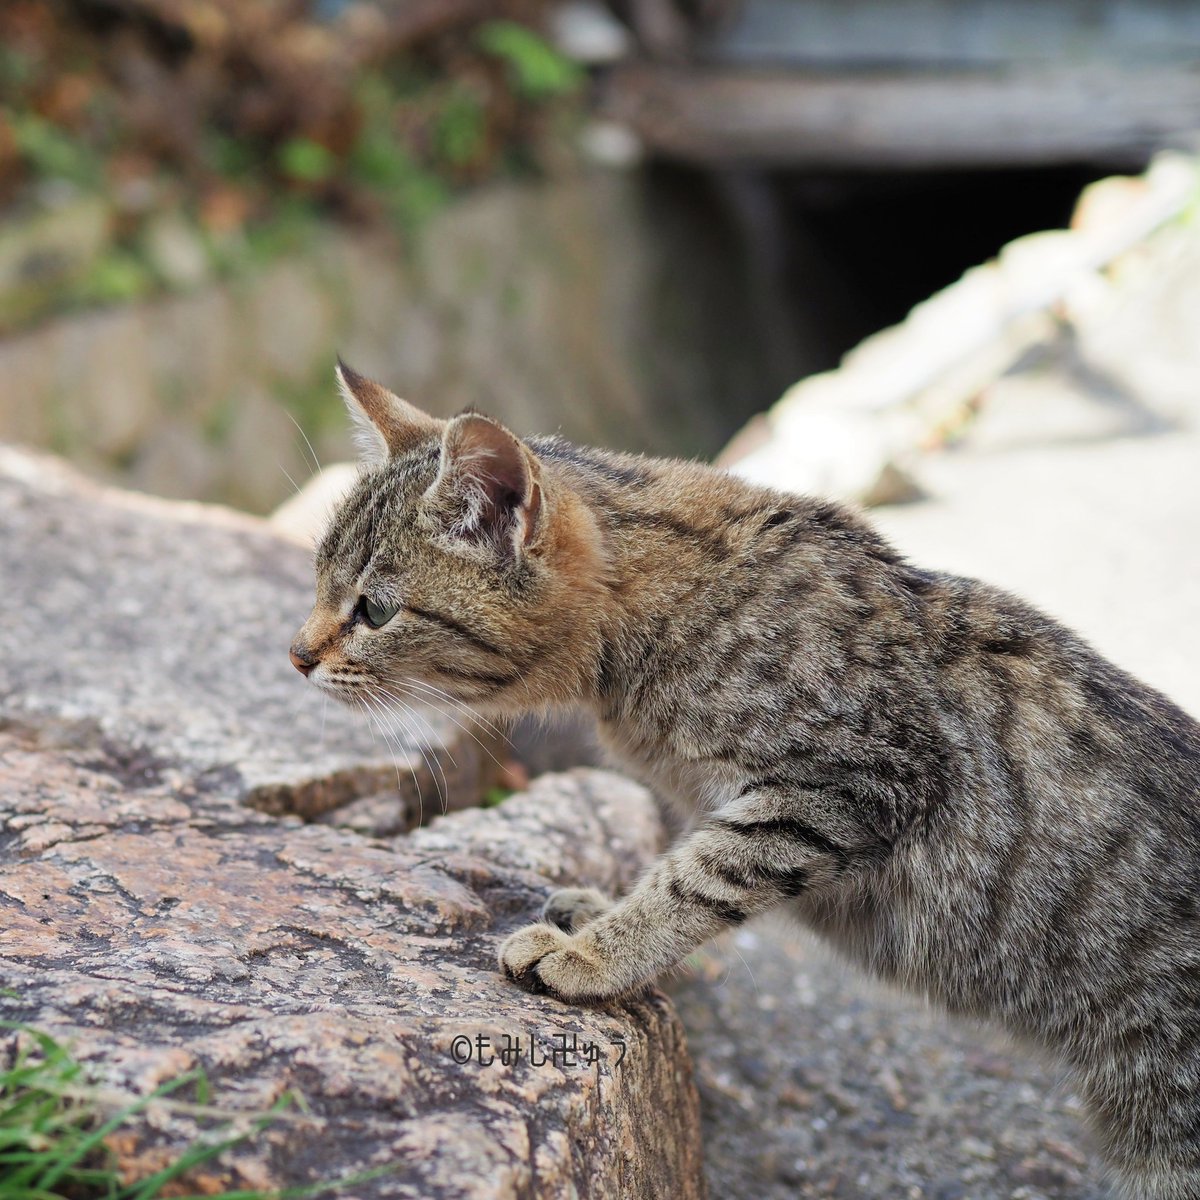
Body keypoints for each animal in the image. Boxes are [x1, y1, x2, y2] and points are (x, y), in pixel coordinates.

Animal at [290, 364, 1200, 1200]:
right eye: (317, 585)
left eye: (374, 610)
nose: (296, 655)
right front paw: (600, 909)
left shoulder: (851, 780)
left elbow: (697, 878)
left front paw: (596, 952)